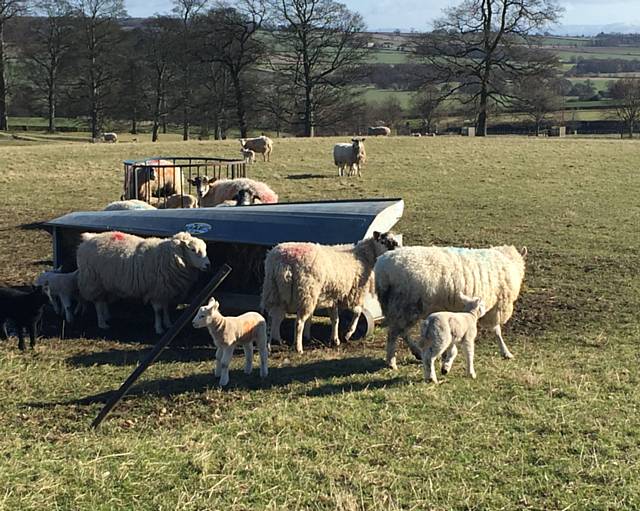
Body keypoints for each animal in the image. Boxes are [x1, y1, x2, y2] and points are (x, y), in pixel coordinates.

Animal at [76, 232, 209, 336]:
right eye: (193, 250)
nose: (208, 265)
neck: (168, 256)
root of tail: (88, 238)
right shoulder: (156, 290)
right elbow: (158, 311)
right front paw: (159, 328)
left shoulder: (165, 290)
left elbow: (166, 308)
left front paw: (168, 324)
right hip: (93, 281)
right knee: (98, 303)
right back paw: (102, 323)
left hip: (104, 282)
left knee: (103, 301)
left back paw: (107, 316)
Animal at [260, 233, 400, 356]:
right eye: (384, 241)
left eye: (395, 241)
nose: (396, 251)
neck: (363, 256)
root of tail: (283, 261)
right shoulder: (353, 294)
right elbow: (357, 312)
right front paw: (348, 334)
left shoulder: (333, 297)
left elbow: (335, 319)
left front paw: (335, 340)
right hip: (306, 293)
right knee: (298, 322)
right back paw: (298, 348)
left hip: (273, 291)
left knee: (272, 318)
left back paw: (273, 343)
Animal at [372, 246, 528, 370]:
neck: (509, 262)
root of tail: (382, 268)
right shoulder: (496, 307)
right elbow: (497, 331)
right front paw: (506, 352)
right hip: (405, 305)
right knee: (394, 333)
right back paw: (391, 362)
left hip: (399, 308)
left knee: (402, 332)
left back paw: (416, 352)